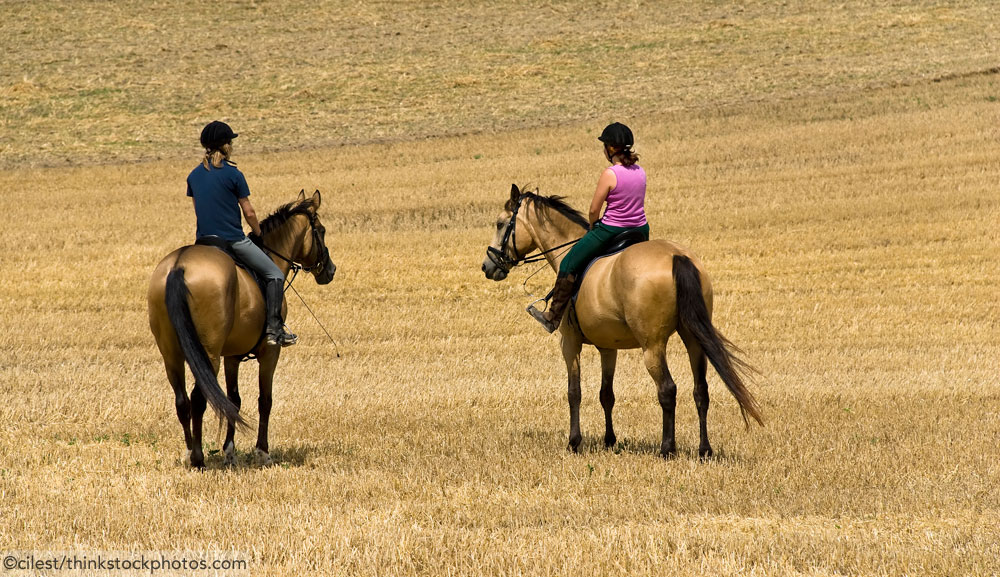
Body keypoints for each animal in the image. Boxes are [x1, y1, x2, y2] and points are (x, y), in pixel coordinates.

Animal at [147, 190, 336, 468]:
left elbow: (233, 400)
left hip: (170, 354)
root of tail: (179, 266)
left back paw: (190, 451)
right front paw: (262, 452)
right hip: (208, 353)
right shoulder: (270, 353)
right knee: (198, 399)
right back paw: (199, 458)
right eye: (321, 230)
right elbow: (264, 400)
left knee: (182, 401)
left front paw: (230, 451)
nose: (330, 270)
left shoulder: (232, 356)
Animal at [480, 184, 760, 460]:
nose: (487, 266)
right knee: (700, 390)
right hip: (693, 339)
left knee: (667, 389)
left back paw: (667, 449)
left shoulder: (569, 343)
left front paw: (574, 443)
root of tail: (676, 256)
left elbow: (574, 392)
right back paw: (705, 450)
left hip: (652, 346)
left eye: (500, 224)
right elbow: (607, 394)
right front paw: (609, 441)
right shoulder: (608, 348)